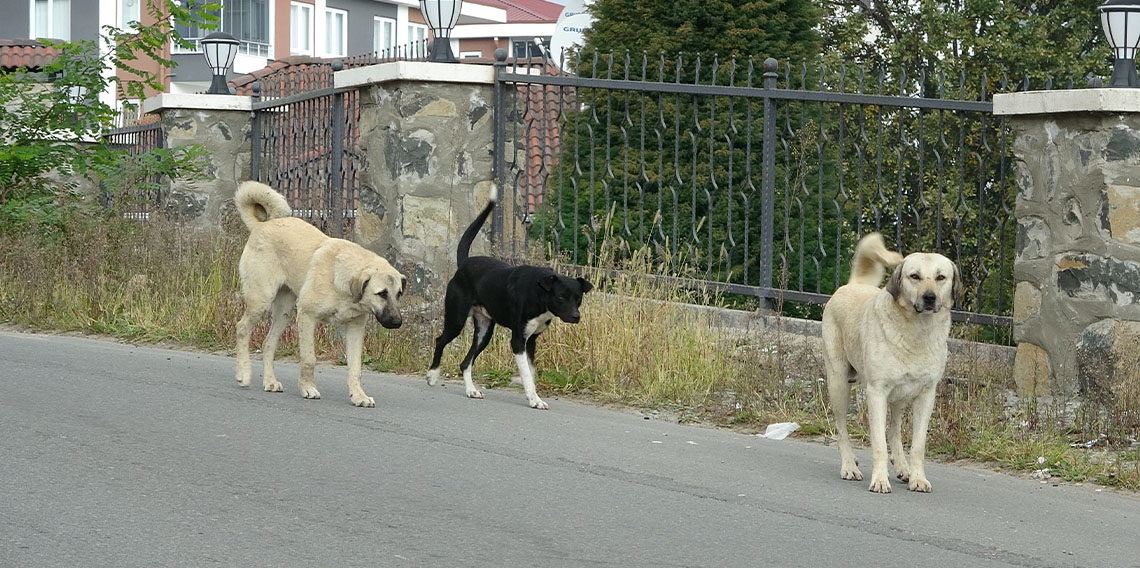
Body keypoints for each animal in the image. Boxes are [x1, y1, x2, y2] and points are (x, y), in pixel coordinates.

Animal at [233, 180, 408, 406]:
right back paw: (243, 373)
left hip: (283, 312)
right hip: (261, 300)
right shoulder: (307, 316)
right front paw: (308, 388)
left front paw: (358, 395)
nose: (397, 322)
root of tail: (261, 226)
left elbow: (356, 367)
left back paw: (270, 381)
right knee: (242, 328)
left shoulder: (355, 328)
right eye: (381, 293)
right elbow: (309, 359)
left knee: (268, 343)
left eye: (398, 294)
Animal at [426, 187, 592, 408]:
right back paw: (432, 375)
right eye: (561, 297)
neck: (538, 294)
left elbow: (531, 373)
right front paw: (535, 399)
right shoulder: (518, 342)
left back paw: (471, 390)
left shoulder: (531, 342)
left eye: (578, 298)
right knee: (440, 341)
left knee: (466, 362)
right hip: (456, 319)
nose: (576, 317)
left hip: (484, 331)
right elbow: (527, 375)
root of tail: (464, 264)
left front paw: (533, 396)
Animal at [820, 233, 962, 492]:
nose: (929, 297)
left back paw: (903, 467)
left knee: (894, 430)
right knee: (842, 428)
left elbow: (917, 445)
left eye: (941, 277)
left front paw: (918, 478)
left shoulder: (926, 395)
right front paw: (879, 480)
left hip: (900, 397)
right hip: (838, 383)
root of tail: (853, 284)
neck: (918, 332)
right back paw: (849, 466)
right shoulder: (877, 393)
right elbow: (877, 443)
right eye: (914, 276)